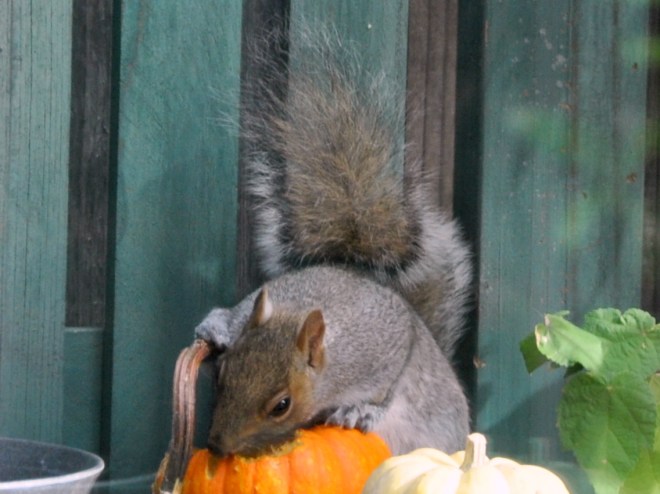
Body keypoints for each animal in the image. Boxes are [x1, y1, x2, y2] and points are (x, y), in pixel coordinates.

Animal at [194, 26, 472, 457]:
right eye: (221, 376)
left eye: (282, 405)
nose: (218, 445)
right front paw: (218, 324)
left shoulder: (386, 350)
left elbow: (386, 388)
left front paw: (360, 411)